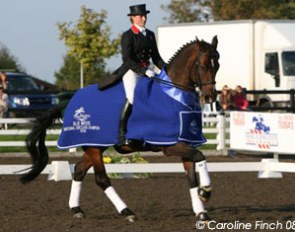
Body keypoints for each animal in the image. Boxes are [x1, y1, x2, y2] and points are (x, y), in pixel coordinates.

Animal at [20, 36, 220, 223]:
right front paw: (206, 191)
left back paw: (76, 209)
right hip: (94, 146)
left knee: (78, 170)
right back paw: (127, 212)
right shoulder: (169, 146)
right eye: (203, 66)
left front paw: (201, 212)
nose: (209, 97)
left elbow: (192, 176)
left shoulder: (184, 143)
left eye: (217, 65)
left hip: (95, 145)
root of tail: (72, 98)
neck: (172, 96)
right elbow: (200, 157)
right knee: (101, 179)